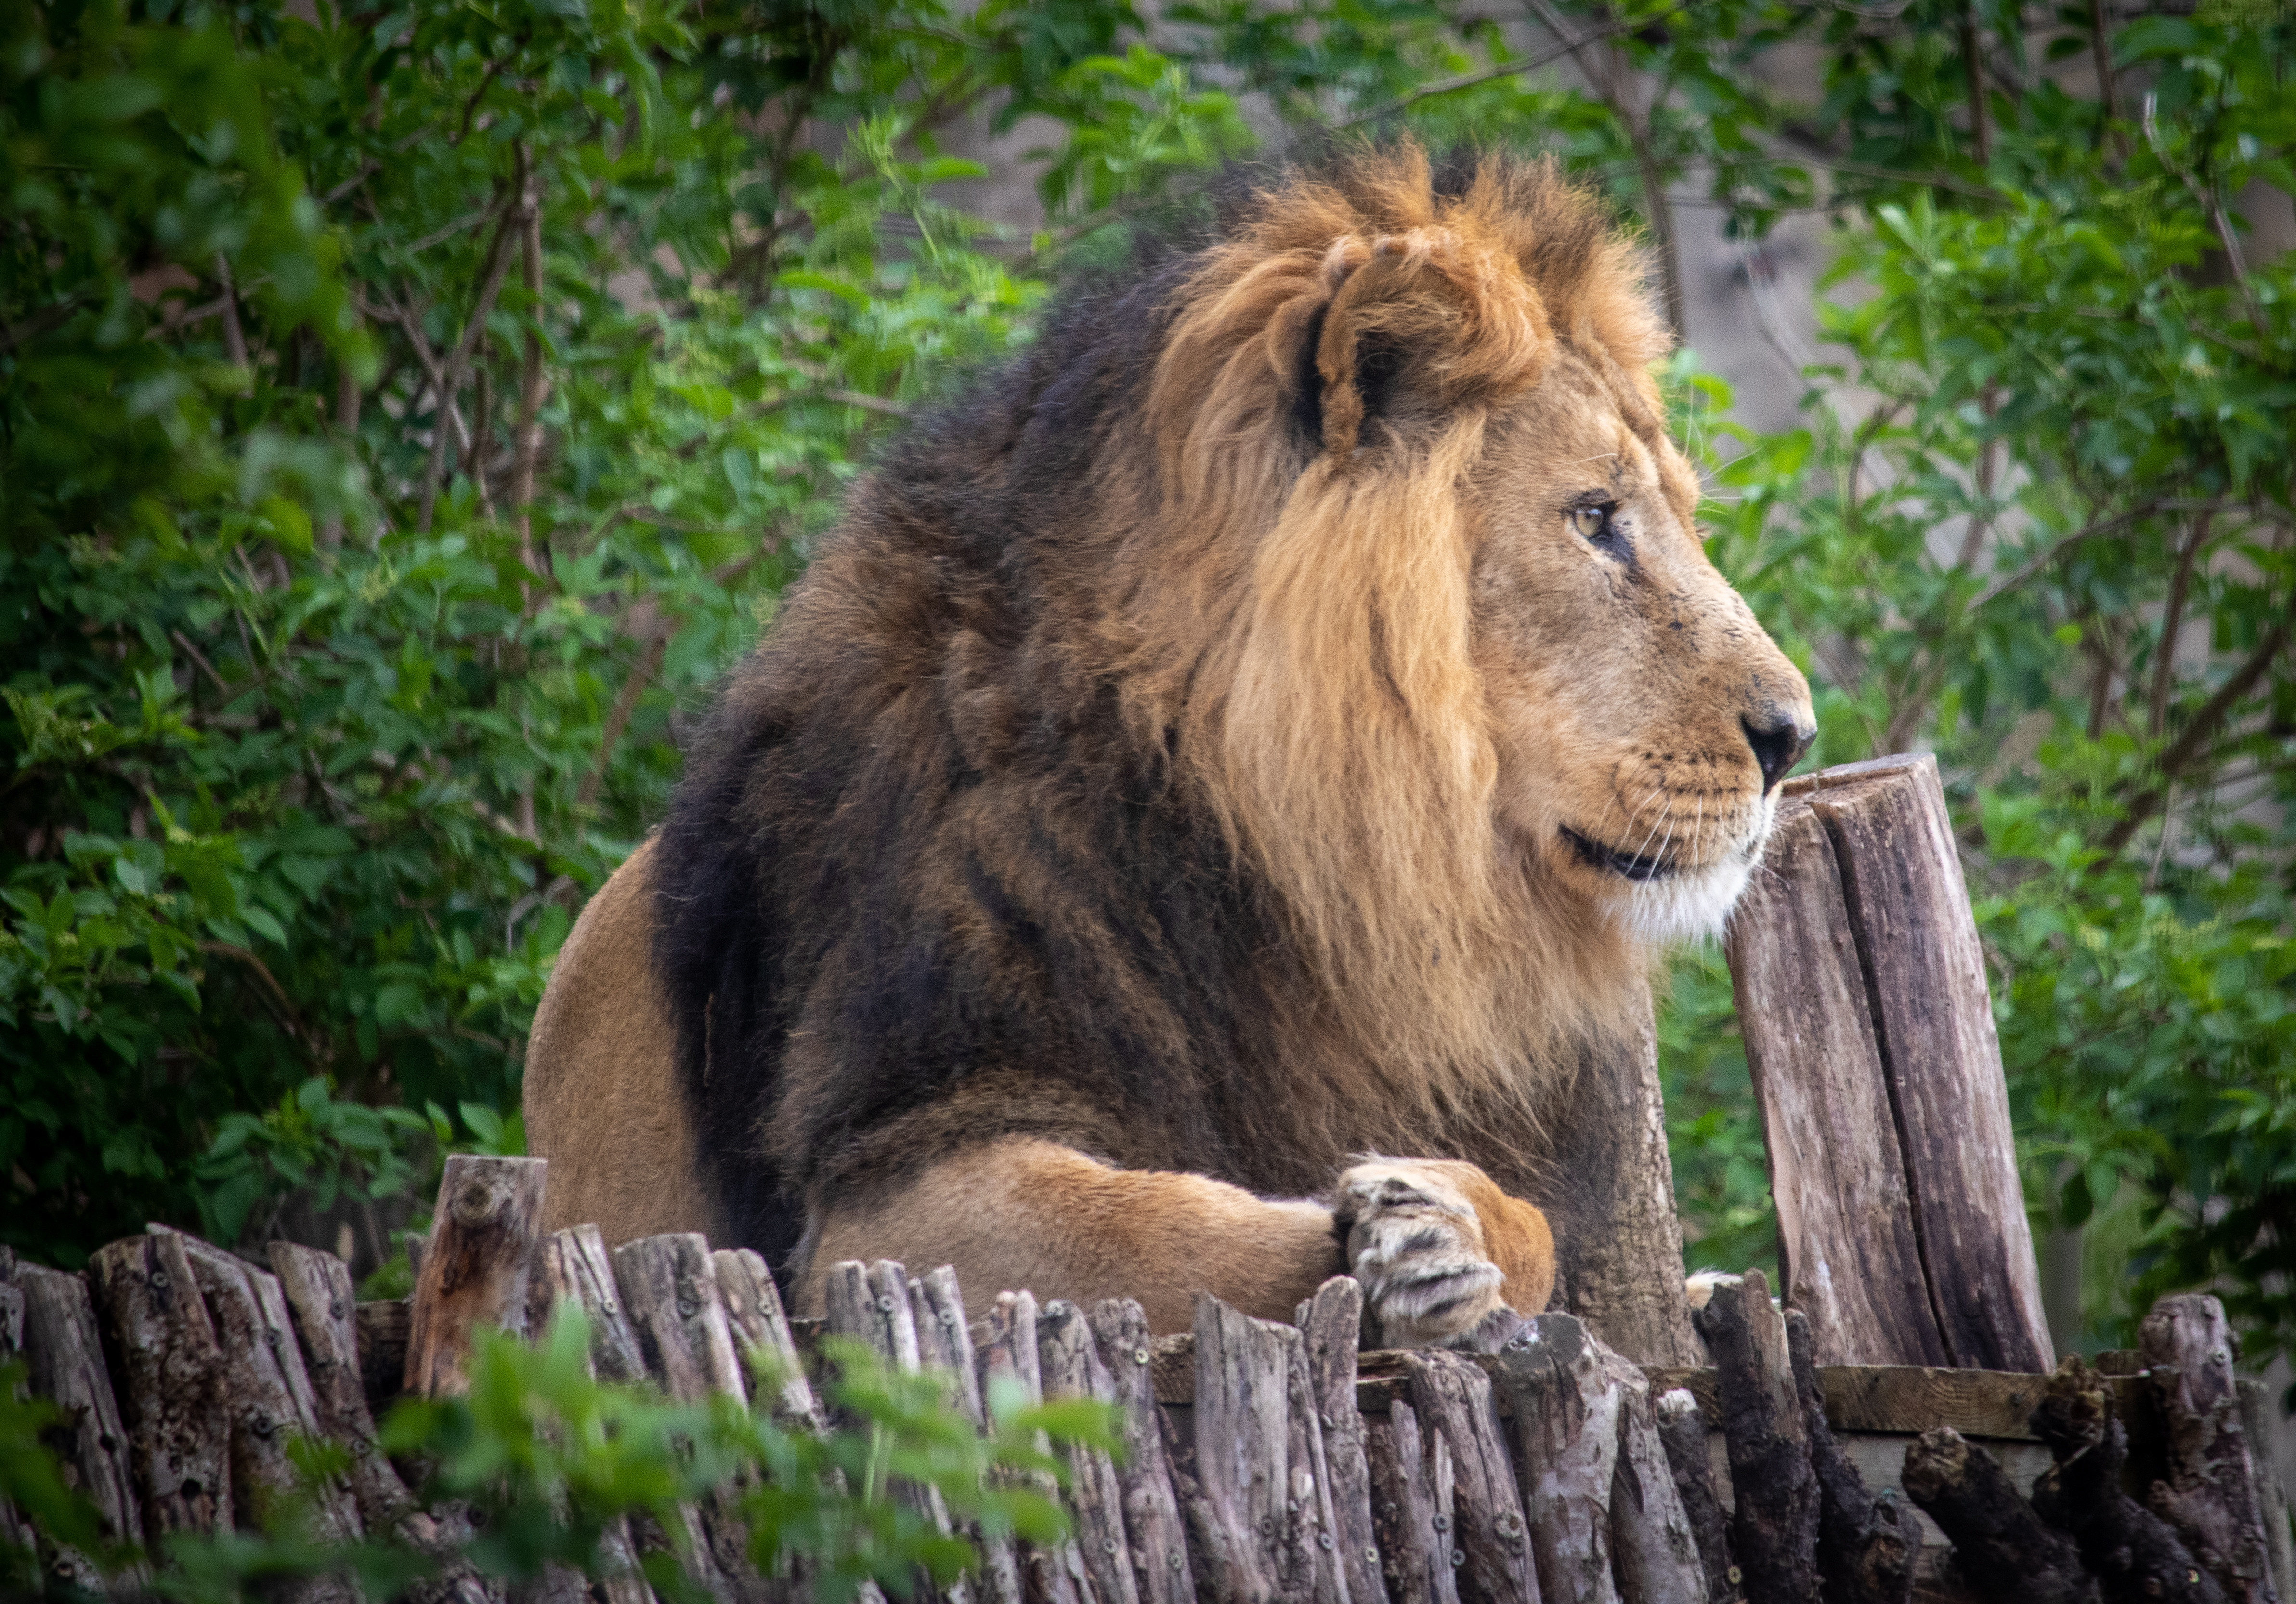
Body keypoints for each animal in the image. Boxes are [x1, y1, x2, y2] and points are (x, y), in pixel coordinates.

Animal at [521, 147, 1809, 1351]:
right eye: (1595, 518)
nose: (1793, 736)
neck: (1295, 860)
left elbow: (1534, 1225)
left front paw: (1457, 1225)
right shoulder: (892, 1173)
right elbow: (1172, 1230)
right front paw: (1419, 1238)